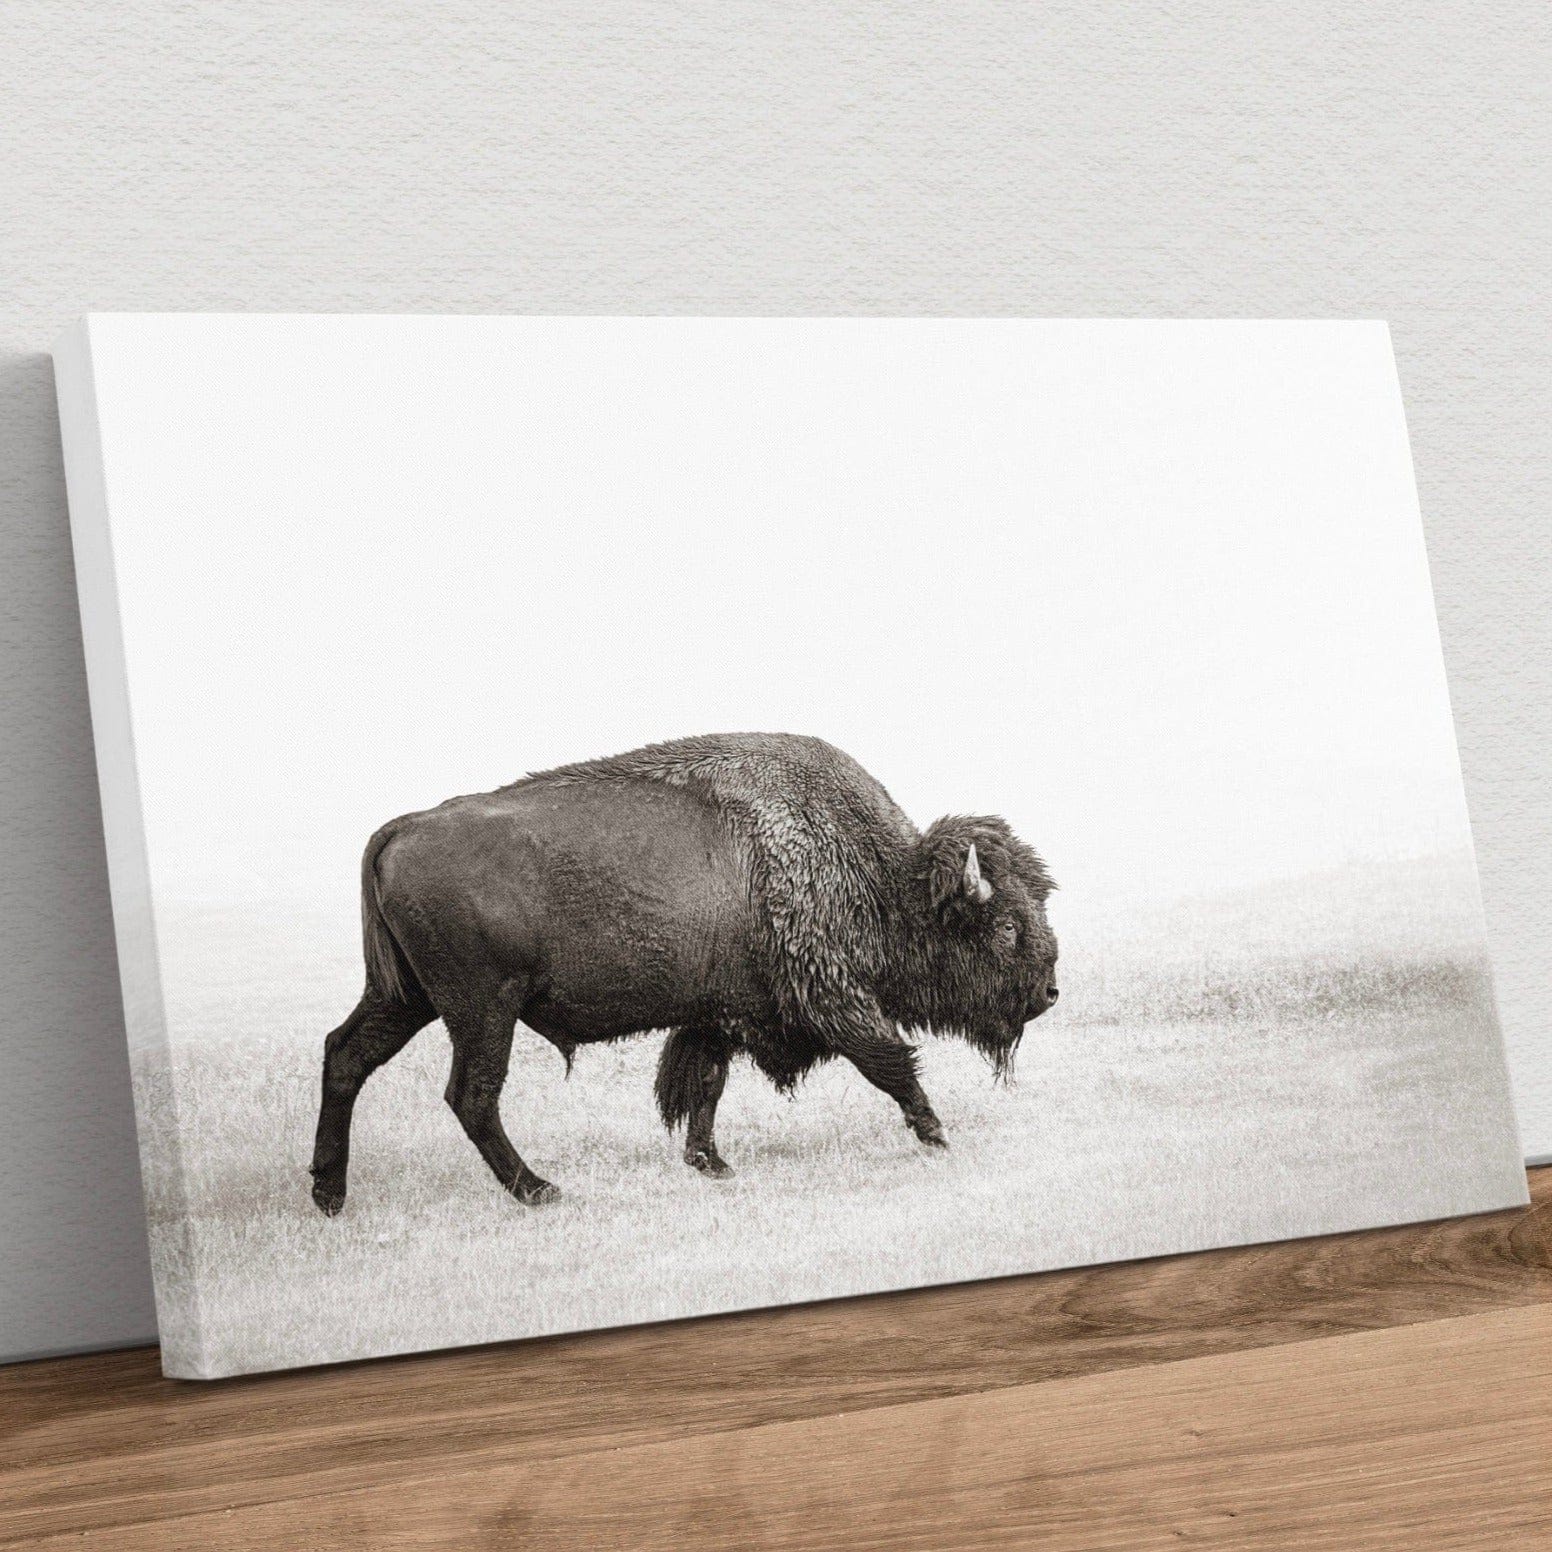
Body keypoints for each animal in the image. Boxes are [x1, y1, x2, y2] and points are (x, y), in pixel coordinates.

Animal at [310, 732, 1058, 1213]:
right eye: (1006, 927)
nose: (1049, 993)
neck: (878, 876)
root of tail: (400, 829)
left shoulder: (717, 1012)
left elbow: (702, 1086)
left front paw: (711, 1163)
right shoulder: (834, 998)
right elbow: (891, 1061)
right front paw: (937, 1134)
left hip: (405, 998)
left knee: (345, 1056)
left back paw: (329, 1194)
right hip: (481, 1006)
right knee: (471, 1094)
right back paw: (539, 1191)